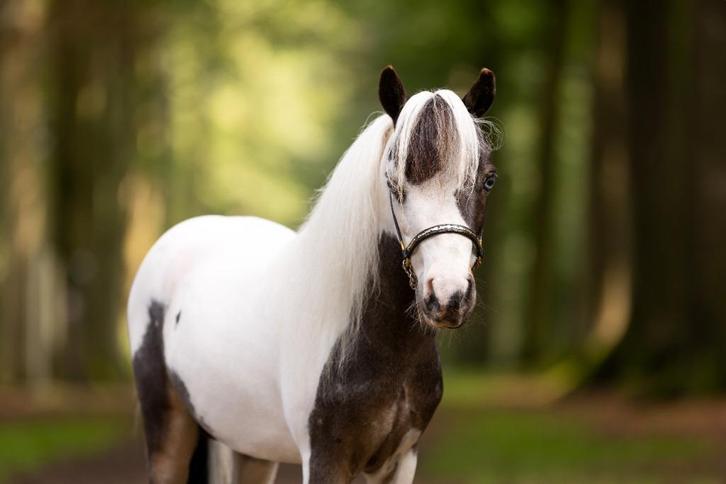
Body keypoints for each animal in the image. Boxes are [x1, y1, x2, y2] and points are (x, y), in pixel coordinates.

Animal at [127, 65, 498, 484]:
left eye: (488, 179)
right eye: (393, 182)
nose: (448, 295)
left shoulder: (400, 461)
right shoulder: (325, 459)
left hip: (250, 448)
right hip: (169, 433)